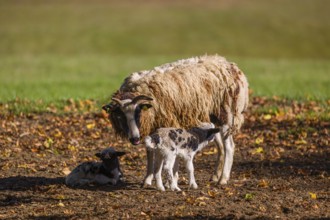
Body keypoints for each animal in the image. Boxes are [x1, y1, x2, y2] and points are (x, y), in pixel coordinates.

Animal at [102, 55, 248, 184]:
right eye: (119, 116)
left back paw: (223, 179)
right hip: (212, 117)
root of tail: (231, 66)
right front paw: (147, 179)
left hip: (226, 114)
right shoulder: (151, 125)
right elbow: (150, 153)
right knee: (221, 147)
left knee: (229, 146)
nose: (135, 139)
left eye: (138, 113)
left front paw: (170, 179)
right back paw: (215, 176)